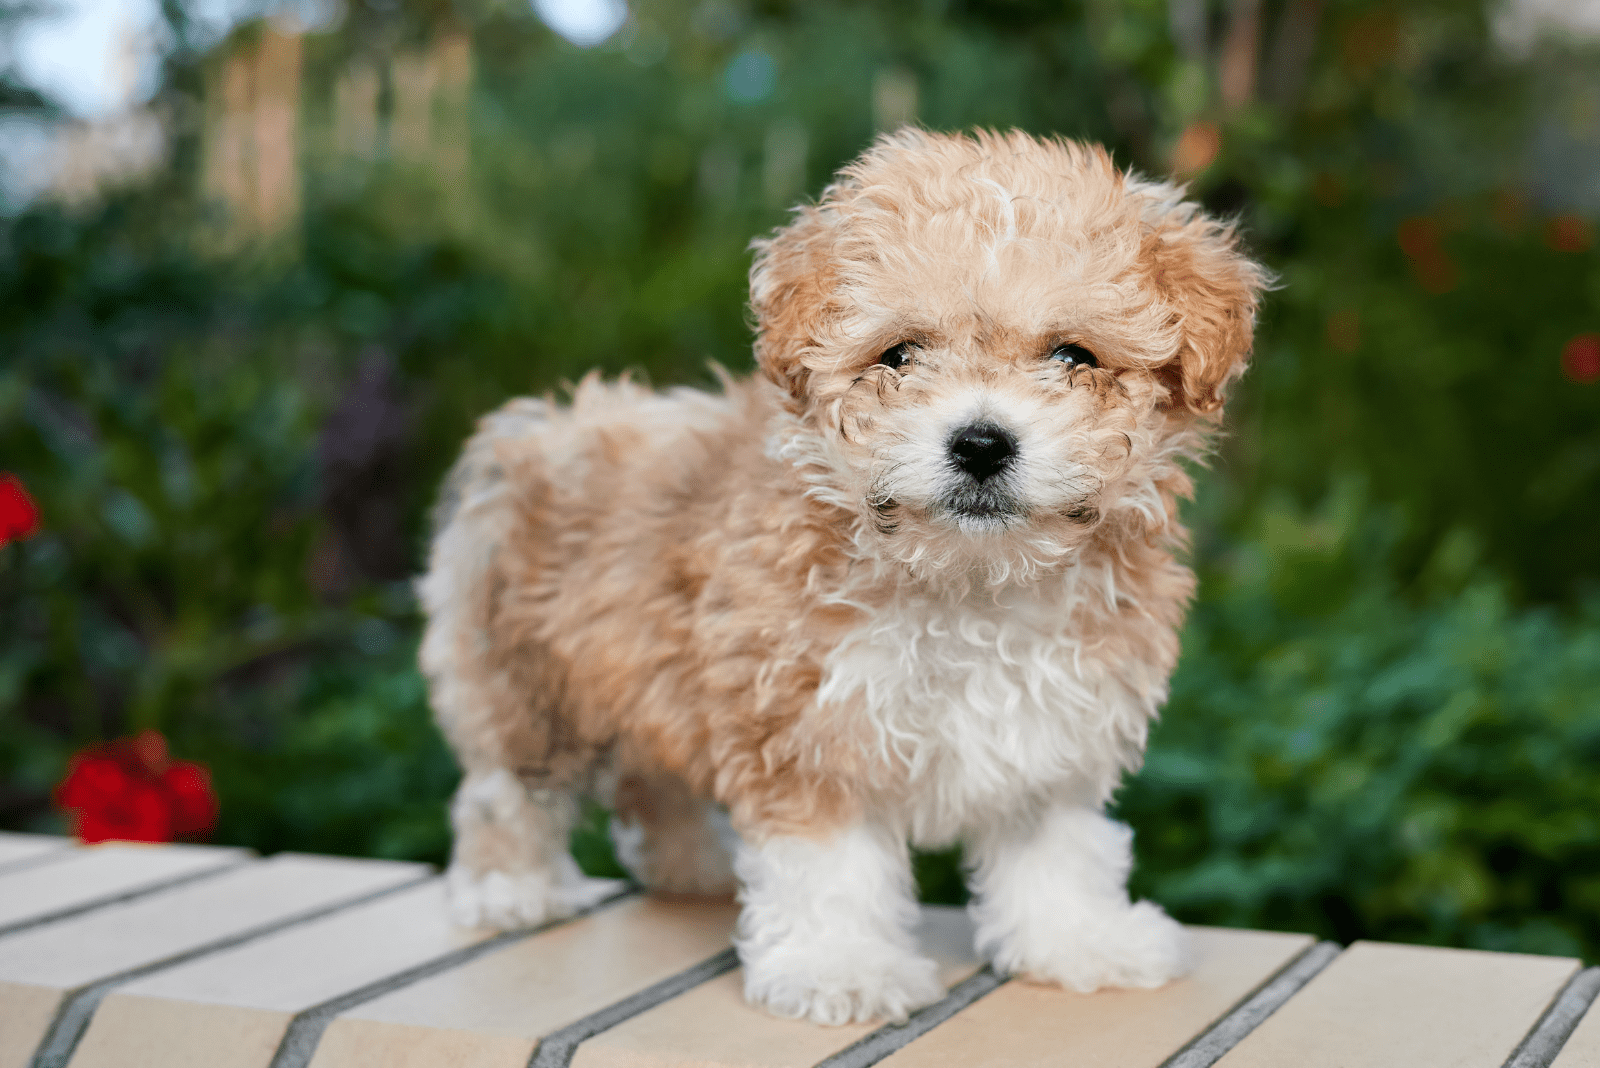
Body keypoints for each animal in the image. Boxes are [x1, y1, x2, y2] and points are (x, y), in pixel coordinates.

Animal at [419, 125, 1267, 1023]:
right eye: (899, 354)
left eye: (1075, 354)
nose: (980, 443)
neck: (970, 584)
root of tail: (528, 429)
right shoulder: (805, 729)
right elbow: (831, 871)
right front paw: (841, 968)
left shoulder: (1051, 731)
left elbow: (1058, 849)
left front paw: (1080, 942)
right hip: (526, 680)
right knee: (508, 787)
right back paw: (511, 887)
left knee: (657, 779)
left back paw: (694, 868)